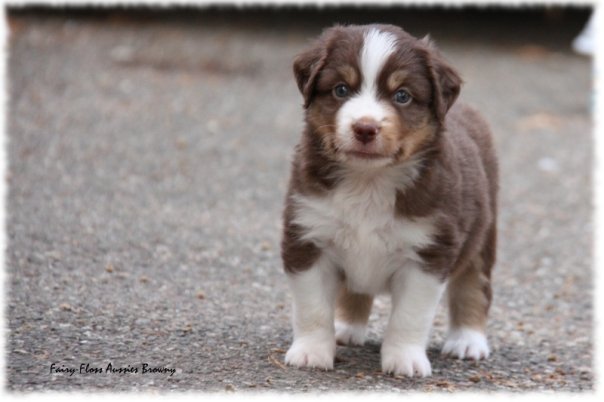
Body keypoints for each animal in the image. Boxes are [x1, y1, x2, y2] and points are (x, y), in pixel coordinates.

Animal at [280, 24, 498, 376]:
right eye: (341, 89)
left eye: (402, 96)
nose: (365, 128)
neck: (368, 182)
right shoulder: (307, 235)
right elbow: (313, 308)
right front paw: (311, 353)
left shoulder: (429, 251)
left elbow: (409, 316)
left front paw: (405, 360)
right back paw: (346, 328)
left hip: (482, 236)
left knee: (474, 286)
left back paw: (467, 341)